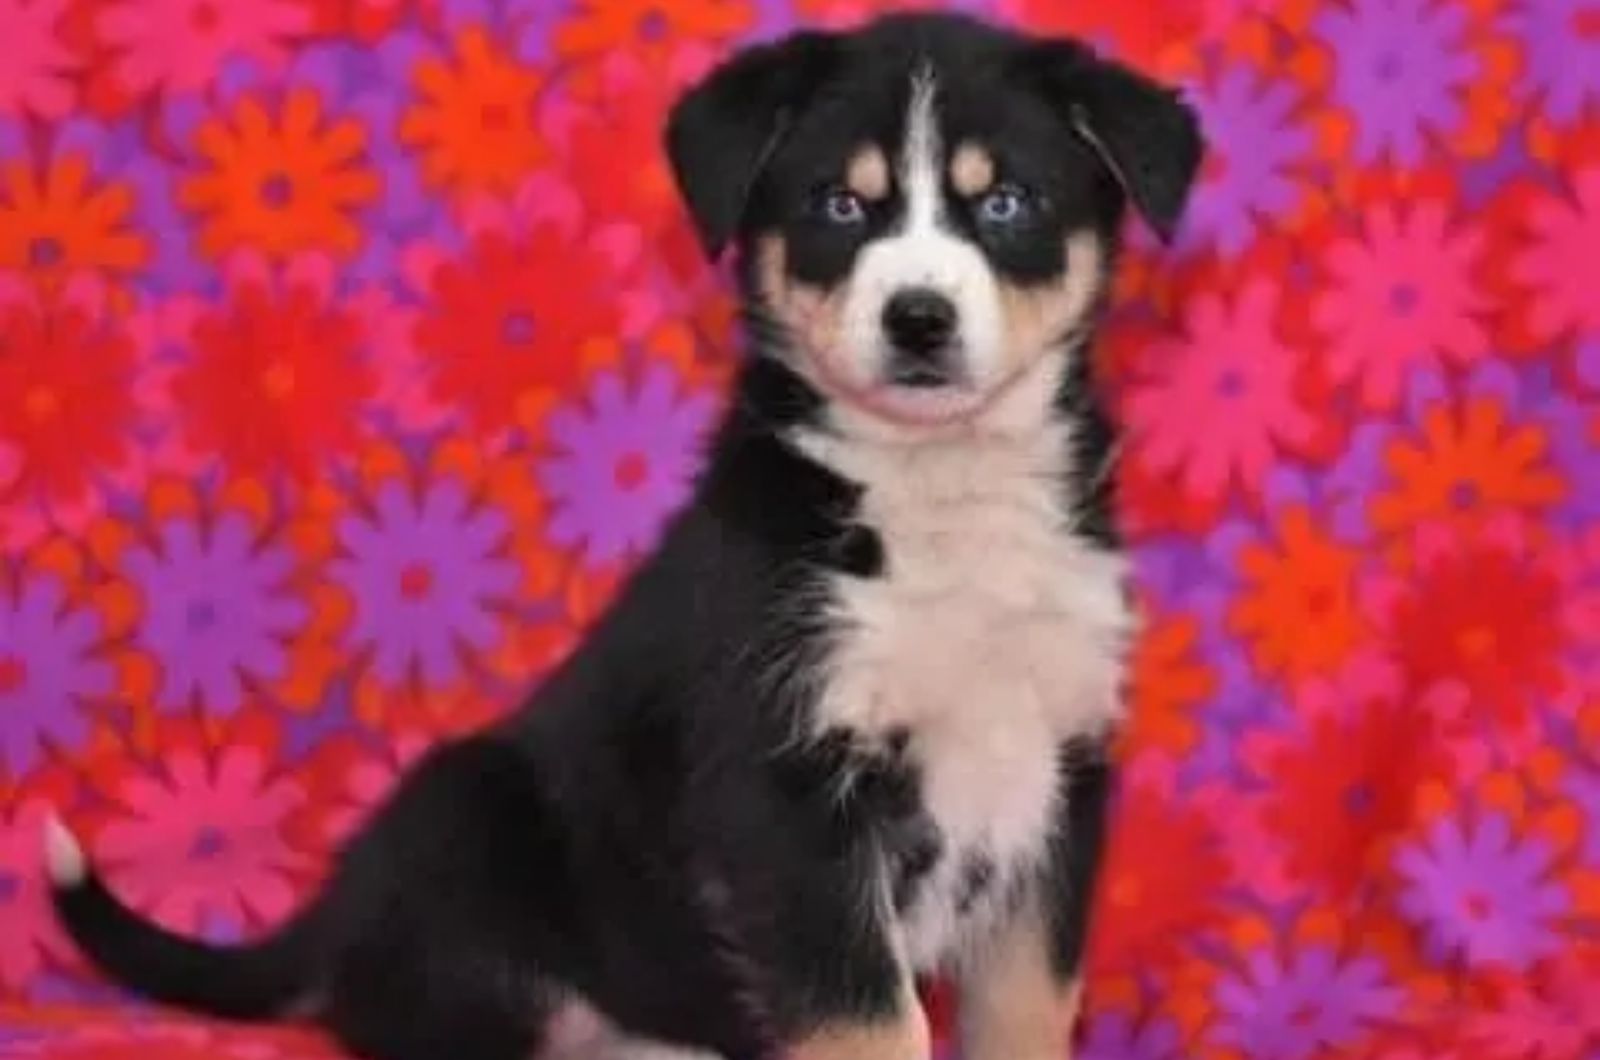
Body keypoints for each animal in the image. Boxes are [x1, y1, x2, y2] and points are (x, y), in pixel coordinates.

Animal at [46, 14, 1203, 1060]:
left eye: (1006, 201)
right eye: (839, 204)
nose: (917, 317)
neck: (940, 490)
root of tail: (334, 917)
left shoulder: (1055, 775)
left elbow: (1025, 1008)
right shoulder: (787, 790)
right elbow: (869, 1018)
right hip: (473, 827)